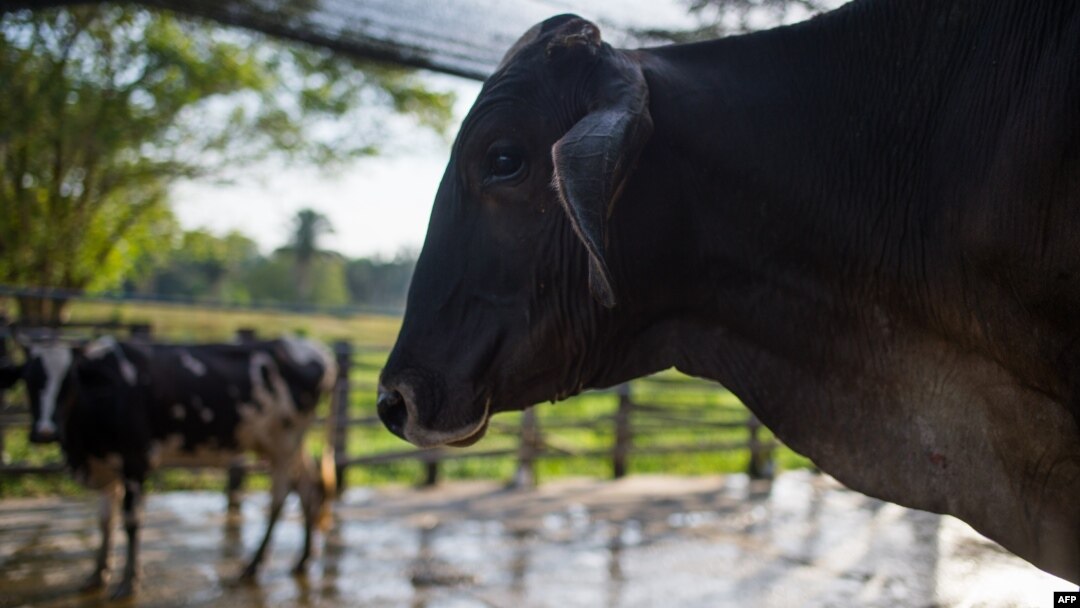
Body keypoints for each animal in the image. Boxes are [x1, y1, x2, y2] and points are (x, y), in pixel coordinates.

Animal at [0, 334, 336, 600]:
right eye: (28, 379)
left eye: (69, 383)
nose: (45, 432)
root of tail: (317, 350)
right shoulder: (107, 466)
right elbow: (105, 521)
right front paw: (97, 574)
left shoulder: (135, 458)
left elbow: (131, 521)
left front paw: (128, 583)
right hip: (282, 444)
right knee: (307, 488)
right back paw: (302, 560)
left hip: (285, 441)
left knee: (281, 495)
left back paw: (253, 566)